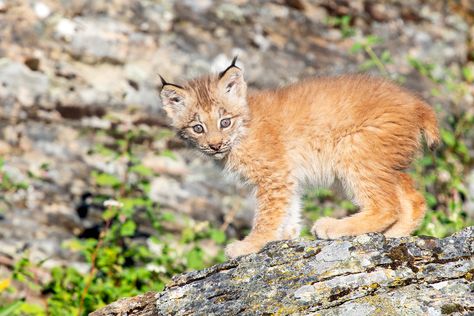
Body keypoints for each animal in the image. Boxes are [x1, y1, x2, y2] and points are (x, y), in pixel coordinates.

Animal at [160, 57, 440, 260]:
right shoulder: (286, 175)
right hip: (381, 159)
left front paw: (251, 244)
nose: (215, 145)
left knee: (386, 205)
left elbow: (267, 215)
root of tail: (415, 102)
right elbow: (289, 208)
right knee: (413, 197)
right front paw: (287, 235)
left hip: (353, 149)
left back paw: (334, 227)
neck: (242, 132)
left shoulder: (273, 175)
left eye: (224, 122)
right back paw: (396, 237)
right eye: (198, 128)